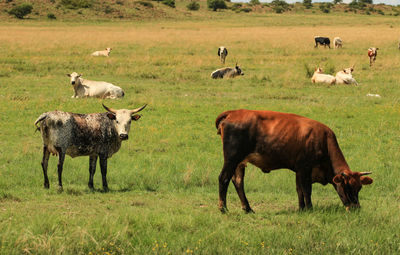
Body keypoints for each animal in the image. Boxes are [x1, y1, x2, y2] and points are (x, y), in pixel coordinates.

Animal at [214, 108, 374, 212]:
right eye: (347, 187)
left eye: (359, 187)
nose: (356, 207)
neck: (324, 140)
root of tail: (233, 112)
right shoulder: (305, 168)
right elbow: (307, 189)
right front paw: (310, 209)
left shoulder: (298, 170)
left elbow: (299, 190)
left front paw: (301, 208)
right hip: (232, 159)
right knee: (223, 178)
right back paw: (224, 208)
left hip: (240, 162)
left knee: (238, 181)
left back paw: (247, 208)